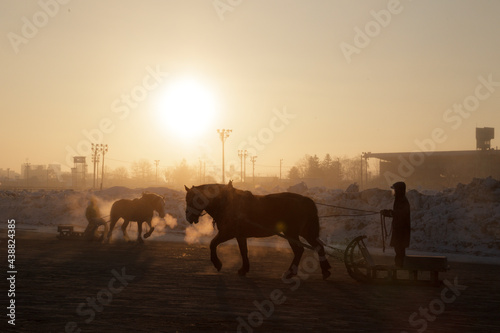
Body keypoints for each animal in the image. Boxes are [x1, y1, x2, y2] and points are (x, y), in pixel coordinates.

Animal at [184, 180, 332, 278]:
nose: (188, 217)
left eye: (195, 199)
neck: (226, 202)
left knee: (299, 250)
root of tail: (305, 200)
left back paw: (290, 272)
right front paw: (244, 269)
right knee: (319, 246)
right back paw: (325, 270)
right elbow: (243, 251)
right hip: (305, 232)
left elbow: (212, 243)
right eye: (186, 199)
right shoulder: (240, 235)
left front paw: (217, 264)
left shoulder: (227, 233)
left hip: (292, 233)